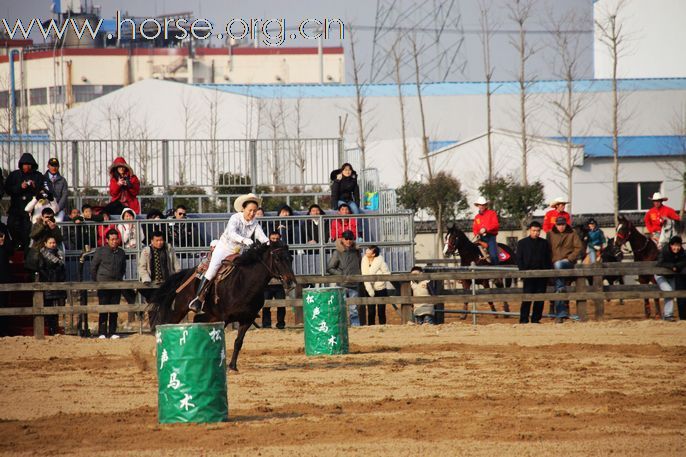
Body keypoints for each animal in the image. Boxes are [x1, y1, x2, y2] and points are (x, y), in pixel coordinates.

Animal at [150, 242, 296, 370]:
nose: (291, 282)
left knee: (197, 321)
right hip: (180, 309)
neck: (244, 283)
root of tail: (188, 273)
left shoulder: (247, 320)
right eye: (277, 259)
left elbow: (238, 342)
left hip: (210, 315)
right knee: (167, 322)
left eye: (290, 258)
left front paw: (232, 366)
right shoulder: (224, 319)